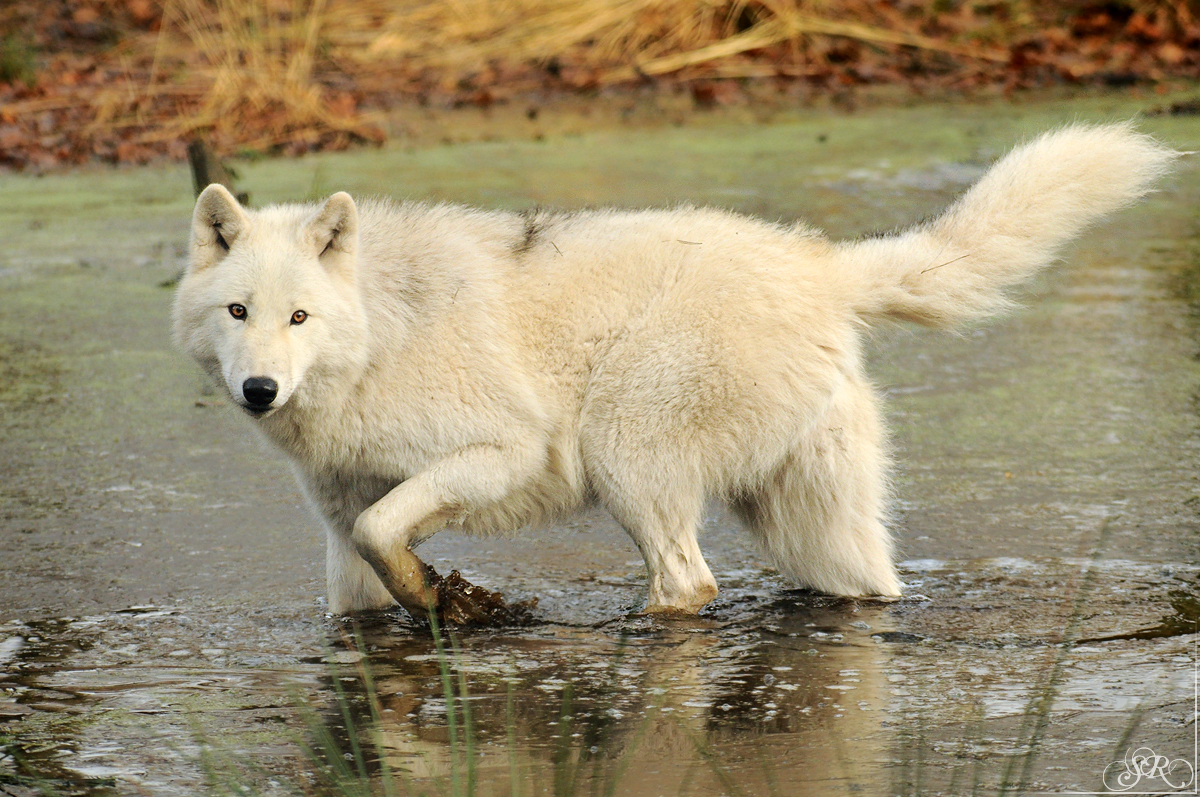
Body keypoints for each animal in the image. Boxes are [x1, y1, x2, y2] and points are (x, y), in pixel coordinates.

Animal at [173, 123, 1175, 622]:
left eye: (299, 317)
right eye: (239, 313)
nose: (260, 390)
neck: (378, 334)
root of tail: (821, 264)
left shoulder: (504, 452)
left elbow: (391, 528)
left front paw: (454, 599)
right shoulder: (338, 528)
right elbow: (361, 588)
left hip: (625, 457)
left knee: (688, 587)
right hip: (816, 532)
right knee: (867, 588)